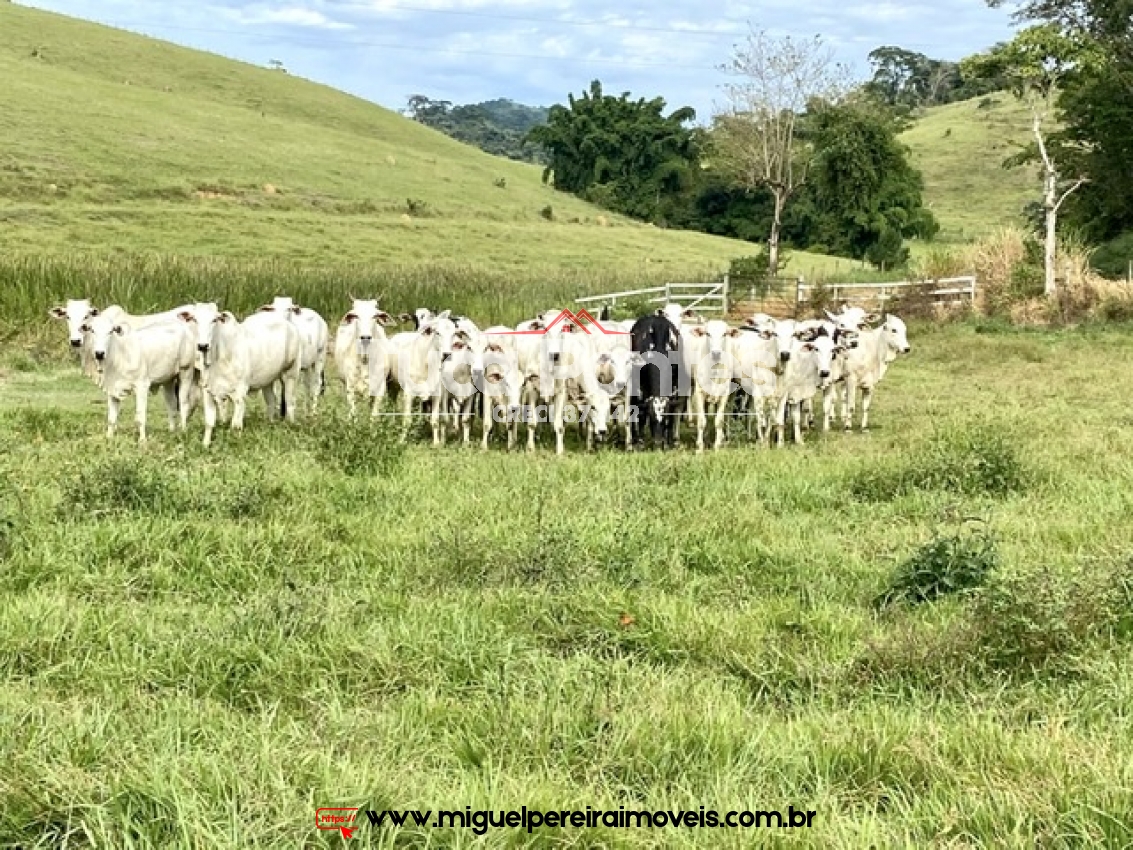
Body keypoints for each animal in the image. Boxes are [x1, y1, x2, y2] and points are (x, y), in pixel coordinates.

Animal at [82, 315, 198, 446]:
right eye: (92, 330)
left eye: (111, 331)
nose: (99, 353)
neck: (120, 357)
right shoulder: (112, 390)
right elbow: (111, 419)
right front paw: (109, 438)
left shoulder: (142, 386)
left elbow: (140, 417)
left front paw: (142, 441)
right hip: (168, 379)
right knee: (172, 406)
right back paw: (172, 432)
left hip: (186, 372)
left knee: (184, 404)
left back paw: (183, 431)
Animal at [177, 303, 303, 448]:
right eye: (194, 319)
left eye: (215, 319)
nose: (203, 345)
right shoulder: (208, 392)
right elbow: (209, 422)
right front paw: (205, 445)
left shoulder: (240, 394)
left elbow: (236, 425)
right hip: (267, 380)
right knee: (271, 400)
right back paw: (270, 423)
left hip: (291, 373)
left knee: (290, 401)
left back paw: (291, 425)